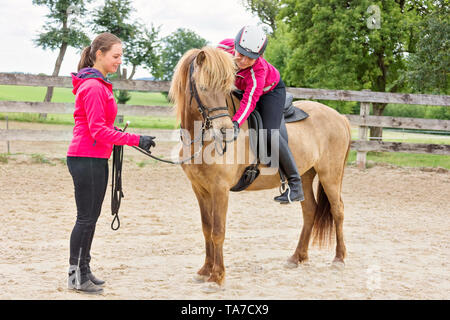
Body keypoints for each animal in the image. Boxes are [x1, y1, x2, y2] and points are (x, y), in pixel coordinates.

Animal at [169, 47, 352, 290]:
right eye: (203, 87)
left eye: (226, 88)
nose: (227, 130)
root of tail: (339, 116)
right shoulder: (200, 189)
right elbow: (207, 229)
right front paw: (205, 271)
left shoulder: (220, 190)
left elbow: (218, 231)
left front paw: (217, 276)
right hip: (305, 175)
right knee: (310, 210)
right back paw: (297, 257)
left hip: (330, 174)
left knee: (338, 210)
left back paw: (339, 259)